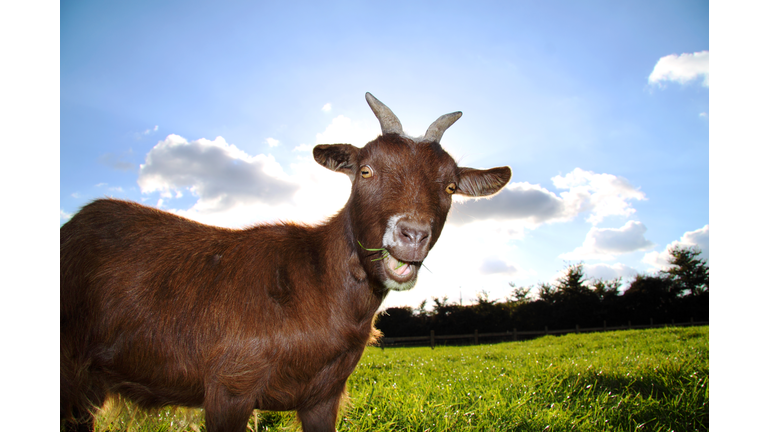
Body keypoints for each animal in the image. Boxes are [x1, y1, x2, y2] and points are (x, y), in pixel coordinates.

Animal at [60, 92, 512, 432]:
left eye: (450, 186)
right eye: (365, 170)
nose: (412, 234)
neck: (315, 286)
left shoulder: (323, 396)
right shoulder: (229, 386)